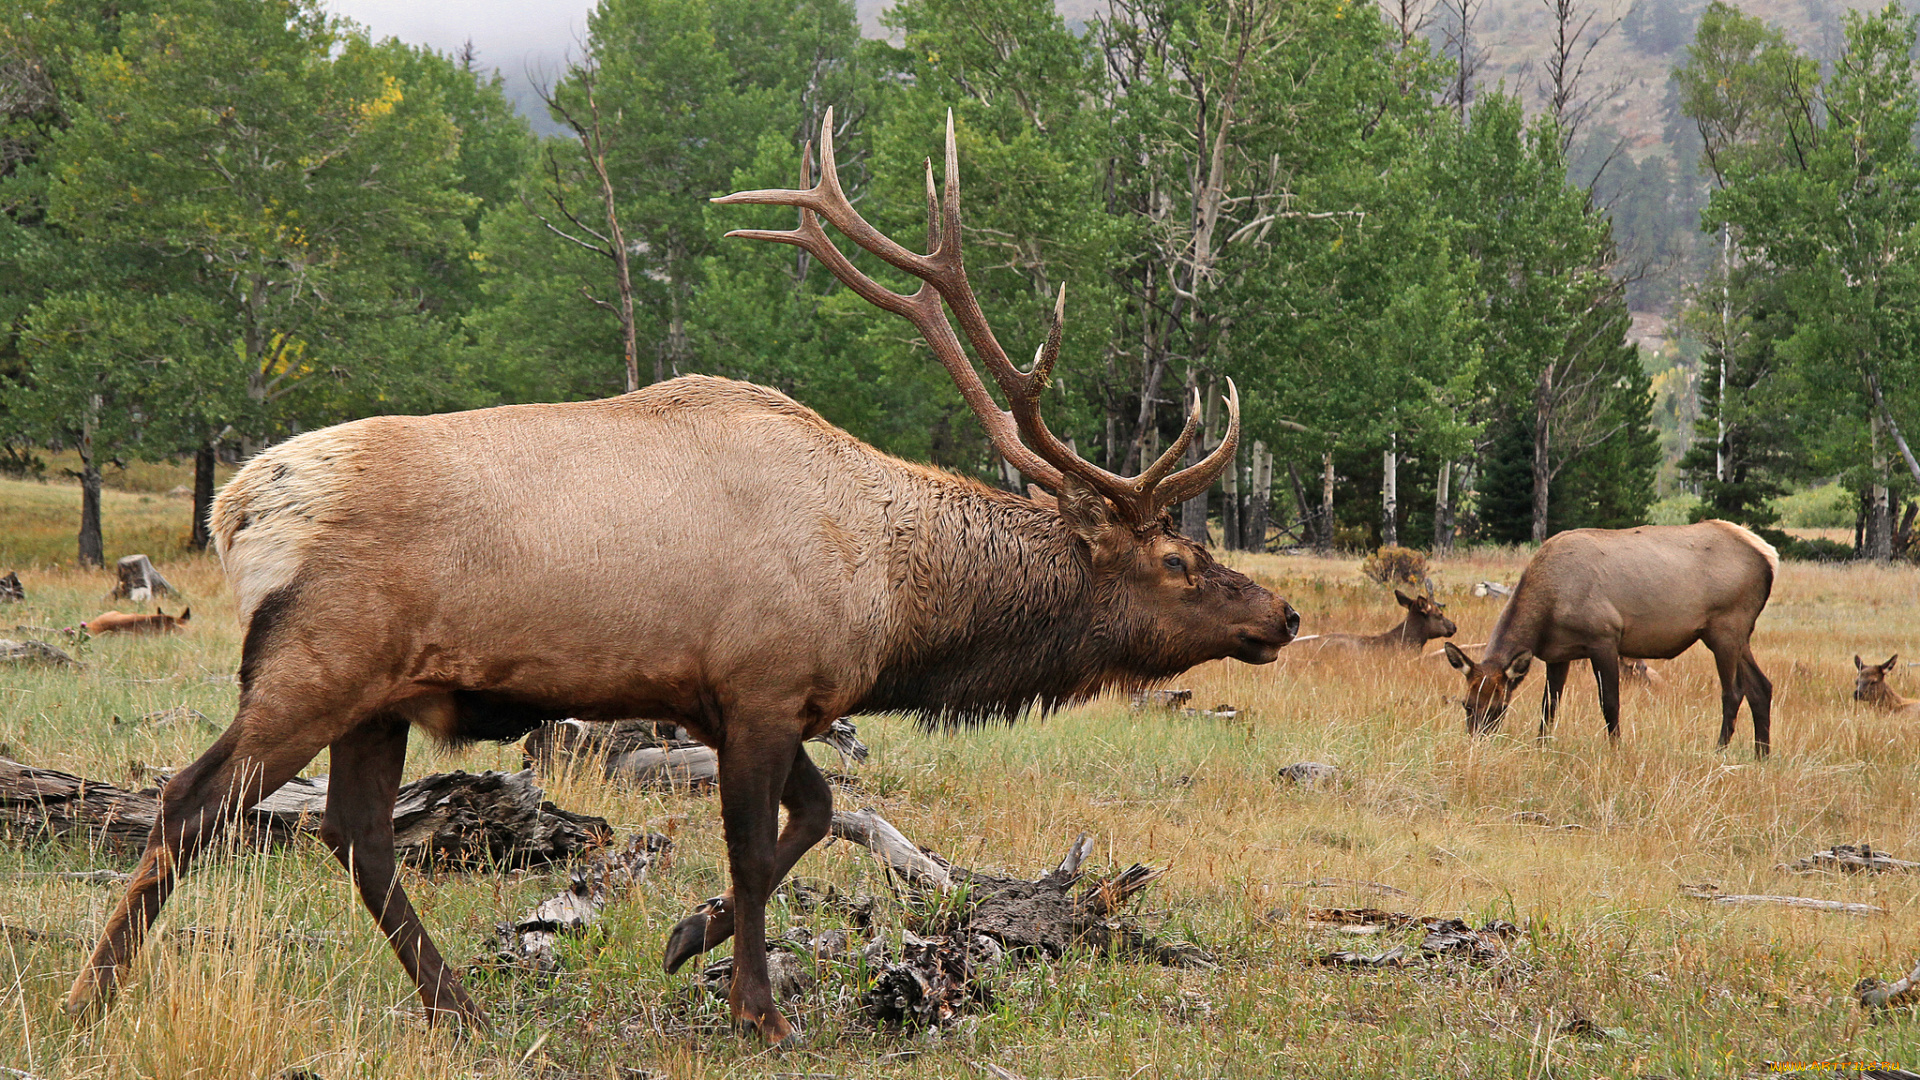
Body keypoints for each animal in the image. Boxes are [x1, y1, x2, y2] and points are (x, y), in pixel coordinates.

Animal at [71, 111, 1305, 1045]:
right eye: (1181, 561)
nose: (1282, 613)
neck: (894, 599)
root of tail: (237, 508)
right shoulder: (758, 688)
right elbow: (760, 850)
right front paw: (759, 1009)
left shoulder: (759, 699)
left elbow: (821, 815)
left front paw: (682, 939)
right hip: (311, 665)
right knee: (191, 803)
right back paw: (91, 997)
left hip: (381, 695)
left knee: (356, 838)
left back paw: (458, 1005)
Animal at [1436, 518, 1774, 753]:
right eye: (1467, 704)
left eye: (1498, 707)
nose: (1477, 745)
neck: (1547, 612)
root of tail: (1770, 557)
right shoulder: (1558, 654)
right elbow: (1549, 706)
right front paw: (1541, 747)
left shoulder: (1604, 638)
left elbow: (1610, 703)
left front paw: (1616, 750)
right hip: (1738, 634)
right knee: (1761, 686)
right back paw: (1762, 756)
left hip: (1725, 627)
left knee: (1733, 692)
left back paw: (1719, 752)